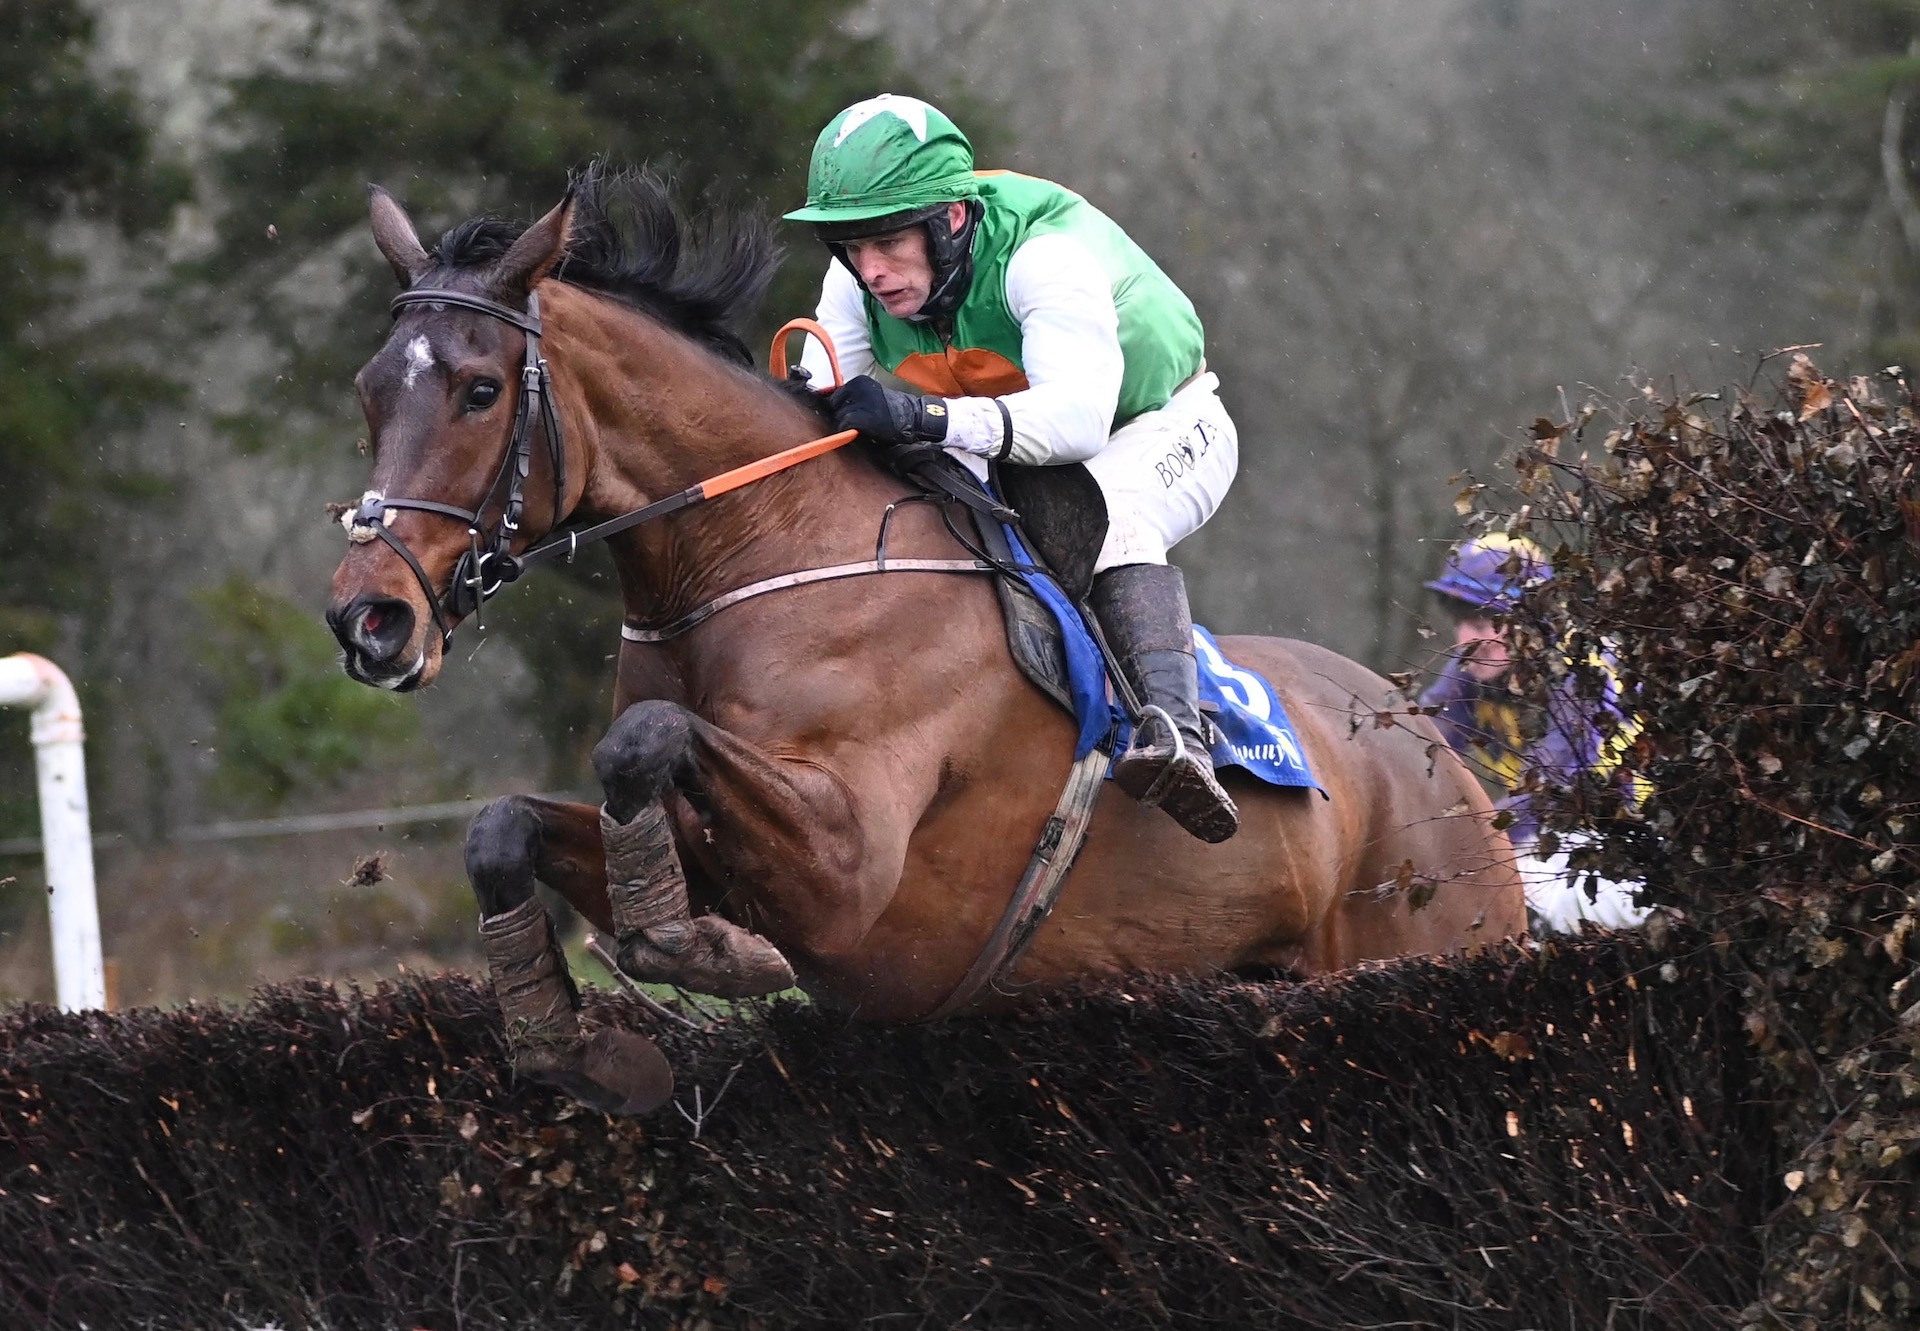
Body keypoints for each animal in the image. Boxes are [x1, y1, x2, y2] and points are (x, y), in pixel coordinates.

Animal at [330, 169, 1528, 1113]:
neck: (759, 549)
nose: (368, 618)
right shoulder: (728, 855)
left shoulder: (848, 869)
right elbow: (505, 824)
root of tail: (1436, 745)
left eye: (481, 389)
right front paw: (571, 1041)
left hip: (1433, 943)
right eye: (370, 392)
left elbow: (649, 738)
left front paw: (686, 947)